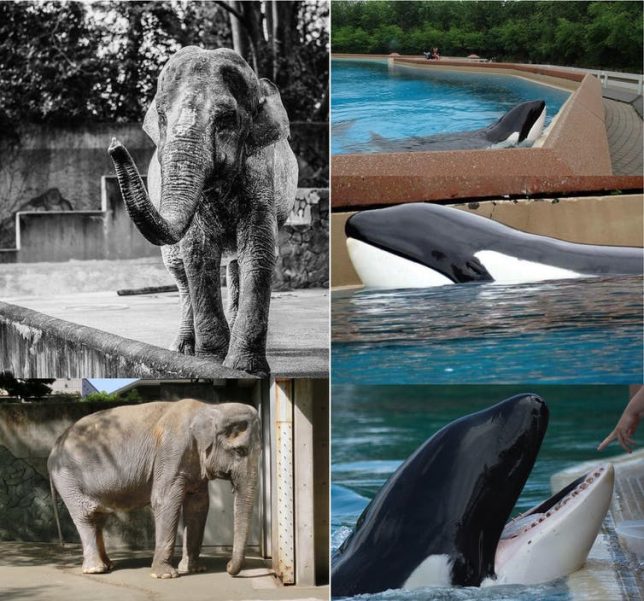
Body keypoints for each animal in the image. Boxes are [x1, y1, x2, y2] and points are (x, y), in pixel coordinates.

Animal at [46, 398, 260, 576]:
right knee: (85, 516)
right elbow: (165, 501)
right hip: (68, 479)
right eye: (239, 451)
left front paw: (195, 569)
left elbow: (198, 506)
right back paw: (96, 570)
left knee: (98, 518)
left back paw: (108, 565)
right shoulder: (171, 451)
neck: (210, 408)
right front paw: (165, 575)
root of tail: (55, 444)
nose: (228, 567)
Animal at [109, 47, 300, 376]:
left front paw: (244, 369)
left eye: (226, 119)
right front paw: (210, 362)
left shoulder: (261, 169)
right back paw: (184, 349)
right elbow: (197, 250)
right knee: (177, 267)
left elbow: (258, 249)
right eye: (162, 116)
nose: (114, 146)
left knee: (235, 263)